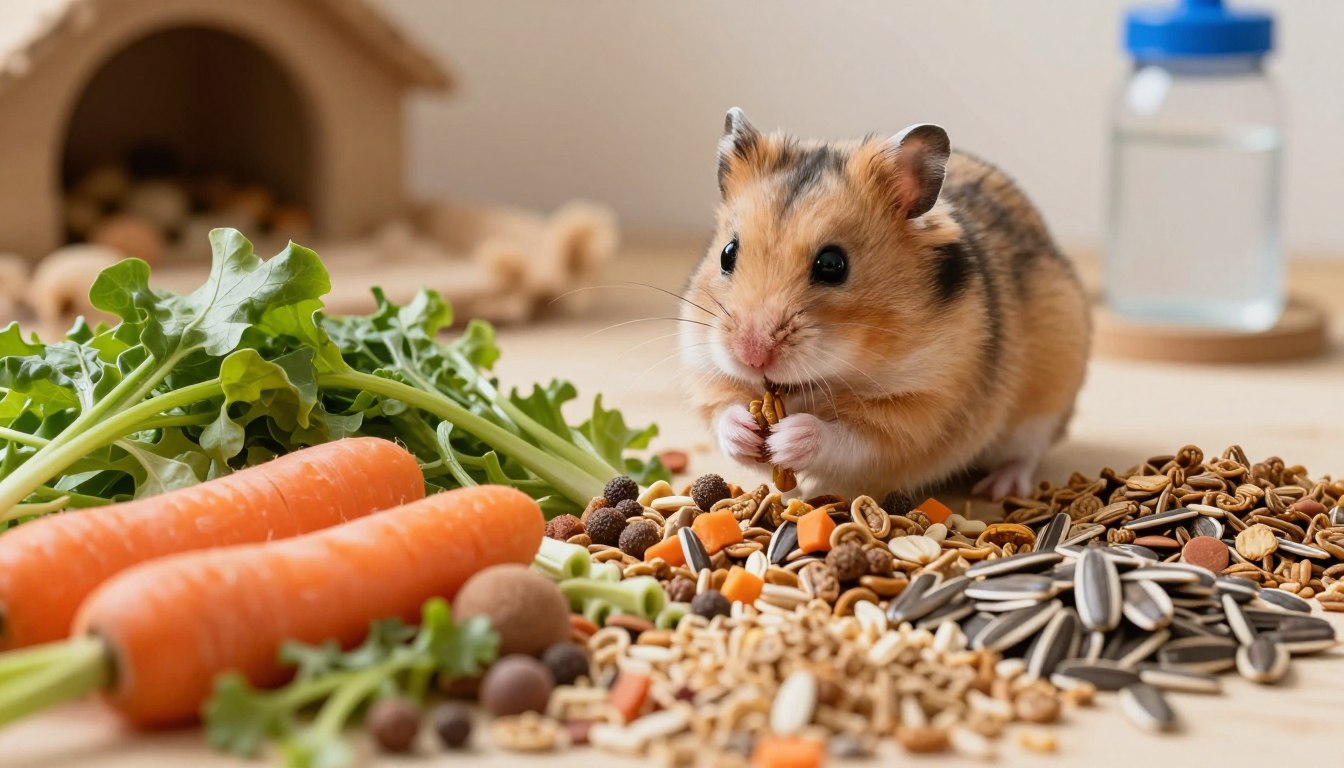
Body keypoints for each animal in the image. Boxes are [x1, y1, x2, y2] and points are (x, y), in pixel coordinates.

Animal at [679, 108, 1090, 500]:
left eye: (832, 265)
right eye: (727, 254)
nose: (752, 356)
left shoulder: (921, 411)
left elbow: (847, 438)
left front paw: (788, 437)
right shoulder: (706, 372)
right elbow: (722, 415)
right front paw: (746, 431)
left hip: (1047, 399)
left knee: (1028, 452)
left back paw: (1000, 487)